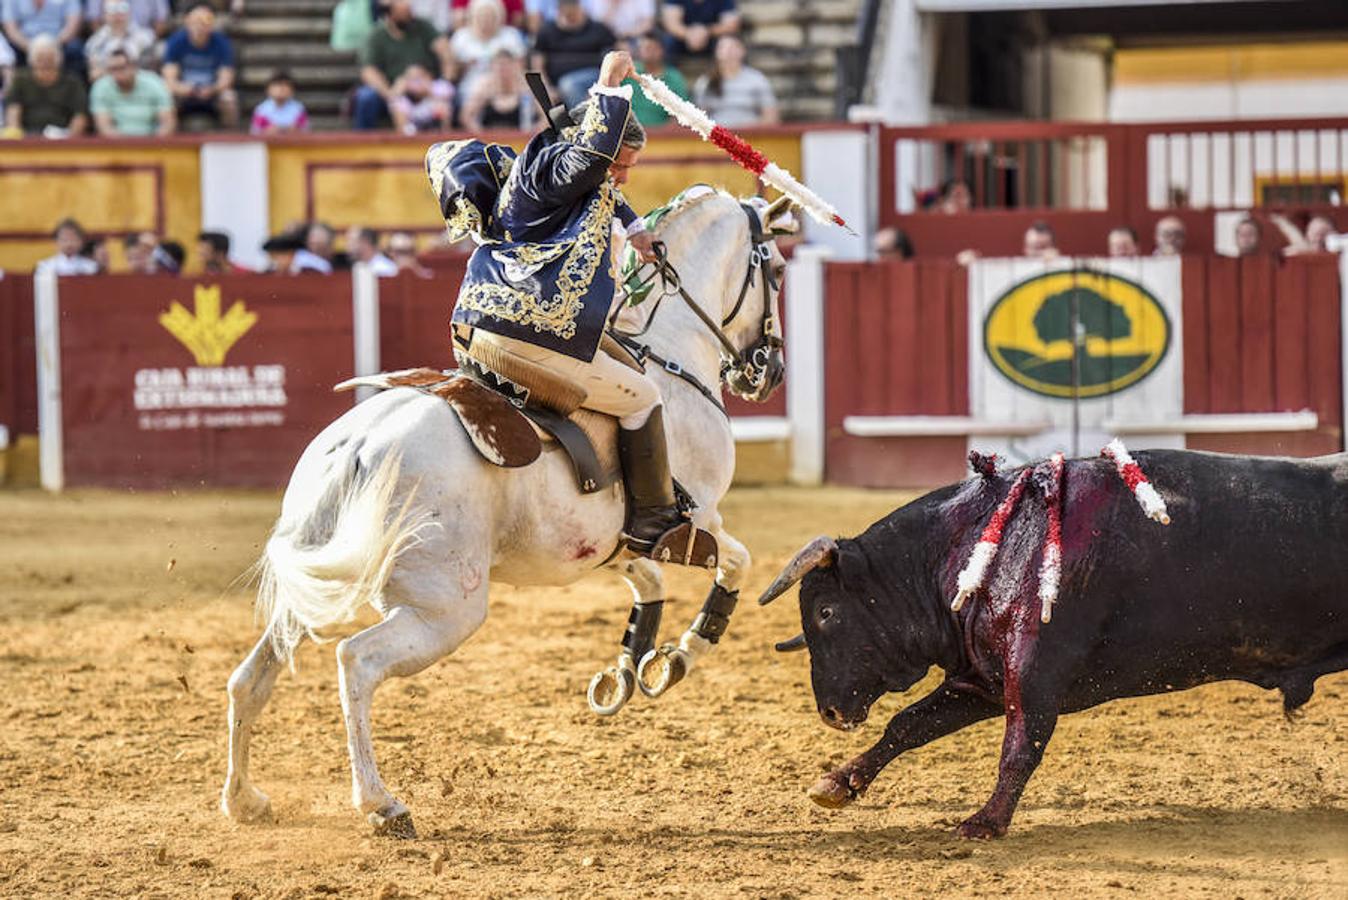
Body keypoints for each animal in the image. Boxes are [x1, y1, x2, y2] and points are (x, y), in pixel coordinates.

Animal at [215, 188, 792, 835]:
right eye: (776, 270)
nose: (769, 372)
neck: (667, 349)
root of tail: (359, 446)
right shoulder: (702, 519)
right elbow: (737, 564)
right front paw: (679, 657)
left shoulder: (608, 541)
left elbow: (648, 581)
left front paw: (627, 667)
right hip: (447, 610)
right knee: (355, 662)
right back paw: (381, 803)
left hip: (309, 588)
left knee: (249, 679)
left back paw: (243, 799)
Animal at [760, 447, 1348, 835]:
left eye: (826, 612)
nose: (831, 712)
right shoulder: (983, 679)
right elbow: (910, 724)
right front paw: (837, 783)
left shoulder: (1034, 673)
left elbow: (1021, 746)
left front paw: (985, 823)